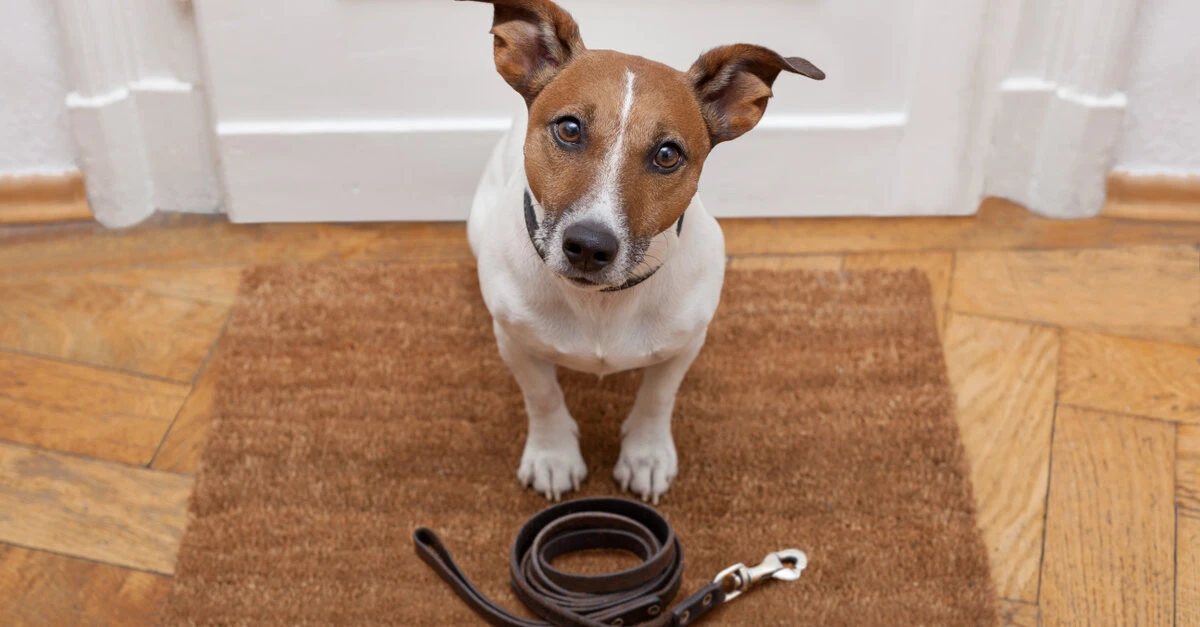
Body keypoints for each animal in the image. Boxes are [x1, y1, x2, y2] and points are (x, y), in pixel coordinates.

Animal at [460, 0, 825, 499]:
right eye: (569, 129)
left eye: (668, 155)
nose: (589, 246)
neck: (600, 305)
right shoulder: (515, 341)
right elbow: (543, 395)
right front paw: (553, 455)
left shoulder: (685, 344)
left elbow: (657, 397)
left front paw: (645, 455)